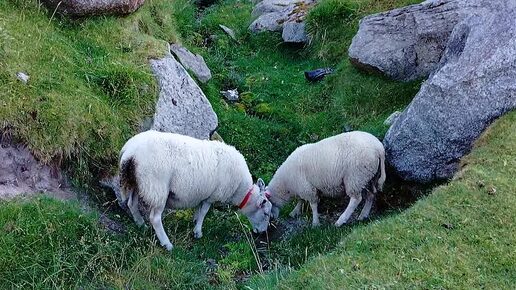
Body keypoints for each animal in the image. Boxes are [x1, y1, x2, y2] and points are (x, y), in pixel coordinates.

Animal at [118, 130, 272, 250]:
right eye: (266, 213)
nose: (263, 233)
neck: (241, 190)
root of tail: (130, 152)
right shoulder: (212, 196)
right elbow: (204, 212)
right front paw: (198, 232)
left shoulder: (203, 194)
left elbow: (199, 210)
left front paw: (195, 222)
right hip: (157, 187)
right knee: (155, 218)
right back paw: (167, 244)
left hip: (136, 182)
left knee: (132, 204)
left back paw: (141, 225)